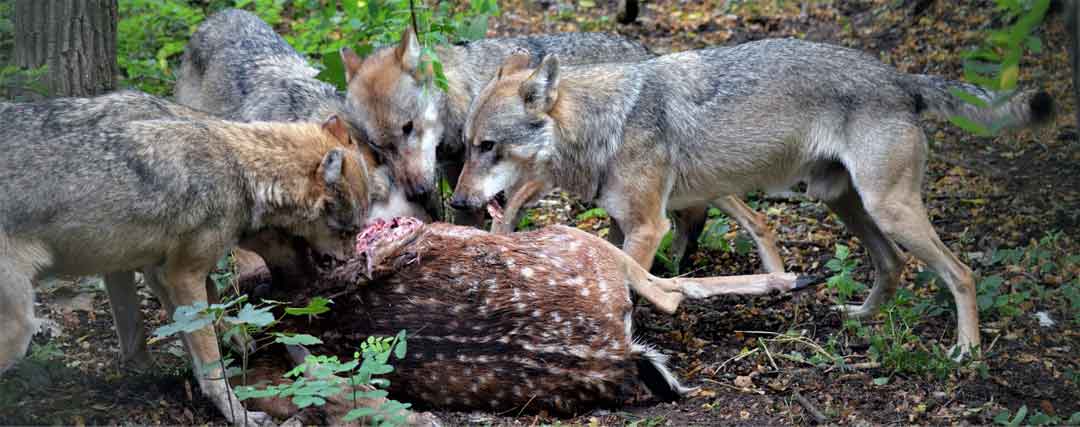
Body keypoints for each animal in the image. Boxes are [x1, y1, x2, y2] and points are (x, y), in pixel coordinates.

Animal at [0, 94, 373, 427]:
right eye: (348, 231)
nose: (350, 261)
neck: (241, 169)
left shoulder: (153, 273)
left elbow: (165, 331)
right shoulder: (182, 276)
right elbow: (212, 367)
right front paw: (240, 416)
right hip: (19, 329)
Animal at [339, 27, 786, 274]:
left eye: (409, 128)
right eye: (379, 147)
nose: (416, 191)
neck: (463, 94)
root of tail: (641, 50)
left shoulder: (514, 185)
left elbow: (498, 225)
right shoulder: (465, 186)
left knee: (706, 215)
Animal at [449, 38, 1054, 358]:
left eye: (487, 147)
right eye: (464, 146)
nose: (455, 205)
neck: (605, 126)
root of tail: (900, 77)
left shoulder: (648, 228)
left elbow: (631, 282)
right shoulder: (623, 226)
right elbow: (616, 277)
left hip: (888, 209)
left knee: (961, 272)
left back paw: (967, 351)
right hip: (845, 203)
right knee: (894, 264)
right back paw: (859, 317)